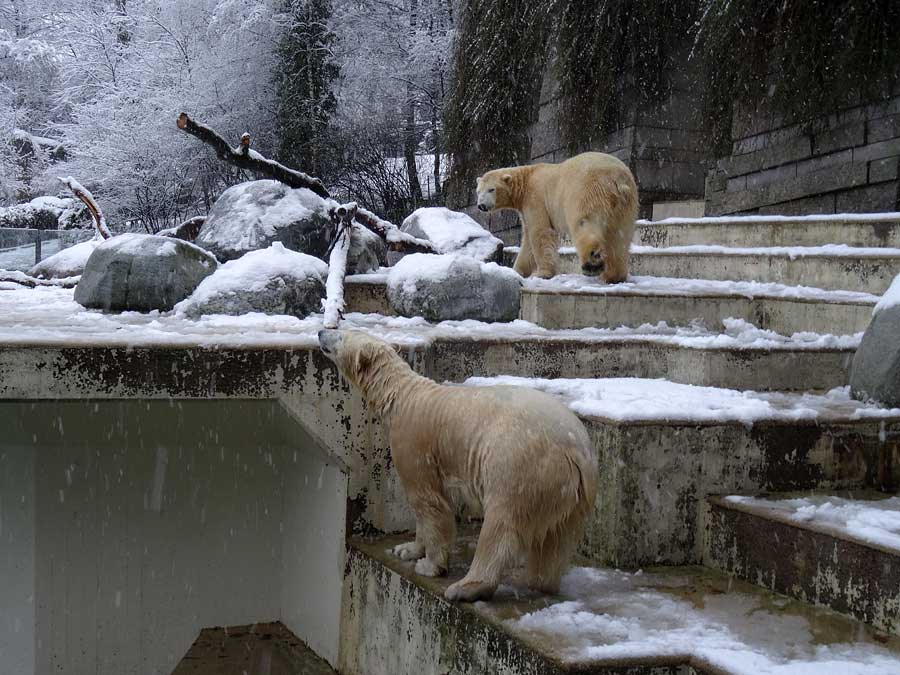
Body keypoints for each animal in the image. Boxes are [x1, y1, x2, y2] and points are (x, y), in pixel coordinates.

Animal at [316, 328, 596, 604]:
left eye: (340, 334)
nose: (320, 331)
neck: (400, 396)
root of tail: (576, 450)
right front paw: (406, 549)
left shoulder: (414, 443)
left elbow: (428, 501)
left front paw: (430, 565)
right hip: (573, 493)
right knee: (557, 539)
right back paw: (543, 582)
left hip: (520, 464)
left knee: (501, 525)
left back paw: (465, 587)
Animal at [474, 151, 636, 282]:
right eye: (478, 191)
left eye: (491, 189)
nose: (481, 205)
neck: (526, 178)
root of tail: (617, 179)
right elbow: (527, 241)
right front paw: (517, 271)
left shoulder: (535, 198)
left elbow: (539, 232)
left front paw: (541, 273)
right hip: (625, 204)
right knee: (619, 236)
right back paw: (613, 275)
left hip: (587, 191)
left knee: (585, 222)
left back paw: (592, 264)